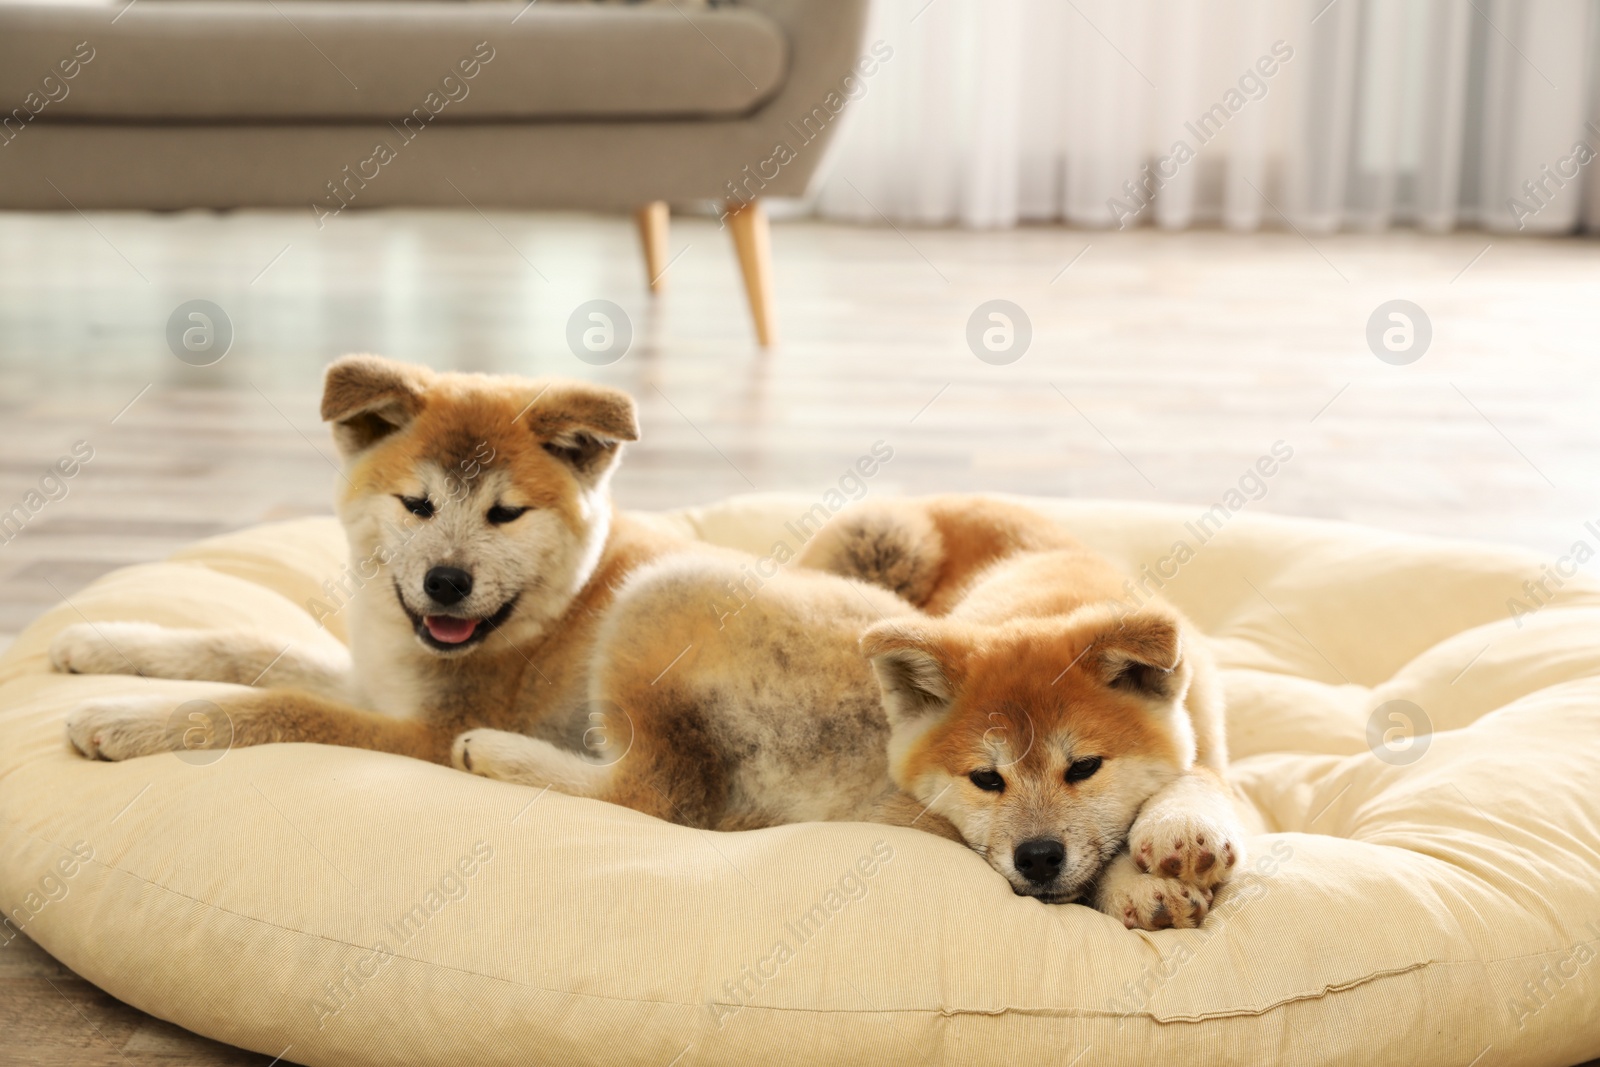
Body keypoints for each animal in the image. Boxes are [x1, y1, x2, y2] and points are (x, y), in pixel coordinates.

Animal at [457, 499, 1241, 927]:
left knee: (654, 788)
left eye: (1084, 767)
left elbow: (1198, 783)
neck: (1058, 590)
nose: (1038, 855)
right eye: (986, 779)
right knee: (650, 788)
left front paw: (1174, 841)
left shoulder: (1212, 744)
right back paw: (491, 749)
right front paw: (1143, 877)